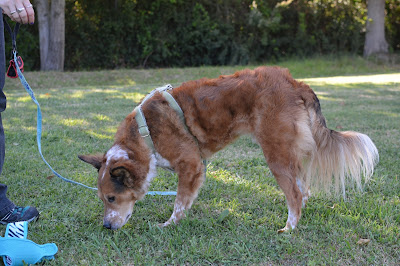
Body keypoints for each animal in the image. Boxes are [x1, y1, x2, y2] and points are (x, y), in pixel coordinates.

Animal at [78, 66, 378, 231]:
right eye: (102, 199)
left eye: (111, 198)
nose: (106, 227)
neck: (144, 135)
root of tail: (294, 82)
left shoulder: (191, 166)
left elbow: (179, 203)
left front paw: (169, 225)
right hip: (286, 155)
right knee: (302, 190)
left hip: (276, 154)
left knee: (294, 194)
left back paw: (289, 228)